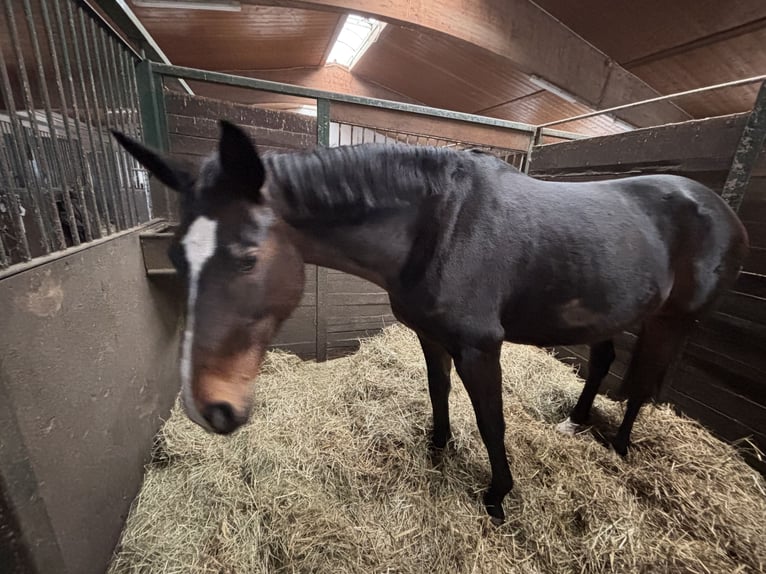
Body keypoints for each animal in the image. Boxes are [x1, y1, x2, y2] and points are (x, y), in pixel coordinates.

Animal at [113, 120, 748, 524]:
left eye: (246, 256)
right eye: (177, 258)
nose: (208, 408)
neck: (440, 221)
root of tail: (722, 209)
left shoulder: (479, 347)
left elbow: (491, 422)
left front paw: (497, 497)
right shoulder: (431, 336)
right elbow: (438, 391)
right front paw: (438, 450)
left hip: (672, 321)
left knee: (641, 384)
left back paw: (619, 448)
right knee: (604, 362)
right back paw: (576, 421)